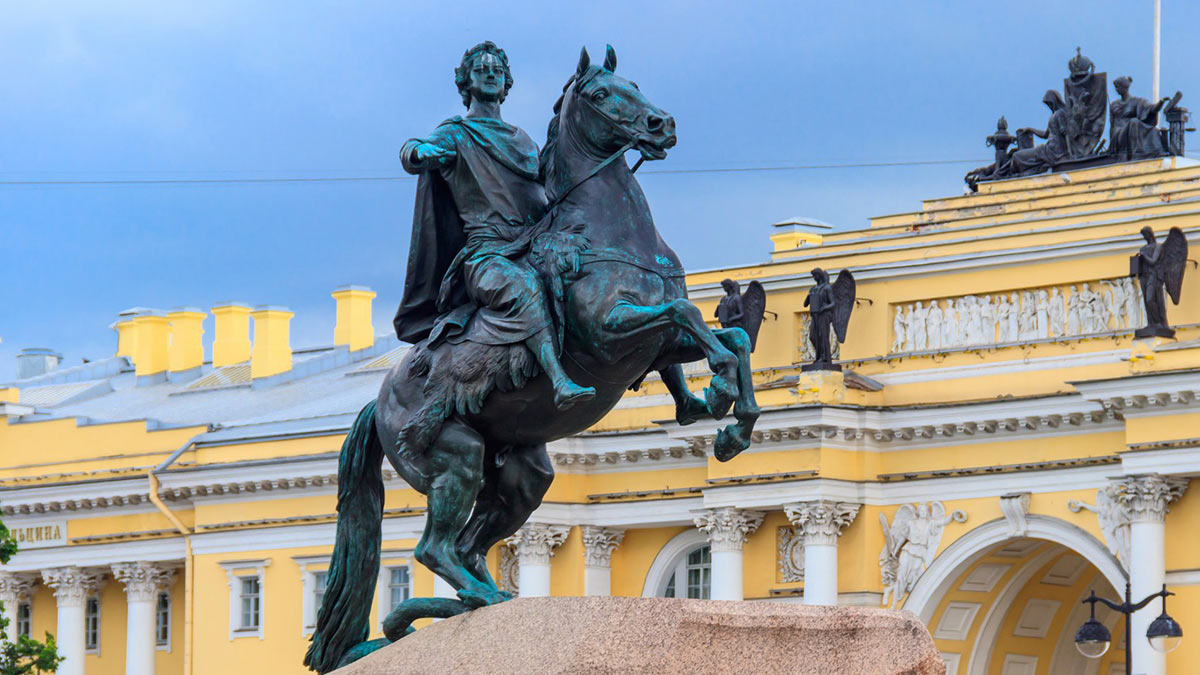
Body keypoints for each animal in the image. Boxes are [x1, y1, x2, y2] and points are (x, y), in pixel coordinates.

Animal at [309, 44, 758, 667]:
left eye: (635, 82)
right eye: (600, 94)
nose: (660, 125)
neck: (603, 232)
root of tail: (378, 405)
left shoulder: (652, 347)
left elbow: (727, 336)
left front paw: (728, 420)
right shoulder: (610, 335)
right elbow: (687, 314)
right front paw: (719, 392)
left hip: (523, 478)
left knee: (468, 548)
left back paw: (484, 598)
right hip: (457, 459)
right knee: (433, 549)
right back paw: (479, 599)